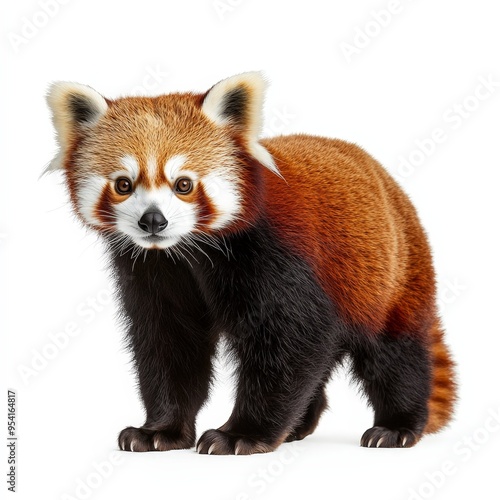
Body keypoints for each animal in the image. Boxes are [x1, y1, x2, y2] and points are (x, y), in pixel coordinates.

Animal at [47, 72, 458, 456]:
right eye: (123, 184)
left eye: (183, 185)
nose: (153, 221)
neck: (189, 251)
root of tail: (393, 188)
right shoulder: (155, 270)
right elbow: (170, 344)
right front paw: (160, 430)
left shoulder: (276, 258)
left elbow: (288, 345)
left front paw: (241, 434)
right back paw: (298, 425)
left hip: (388, 276)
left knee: (394, 355)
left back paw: (396, 426)